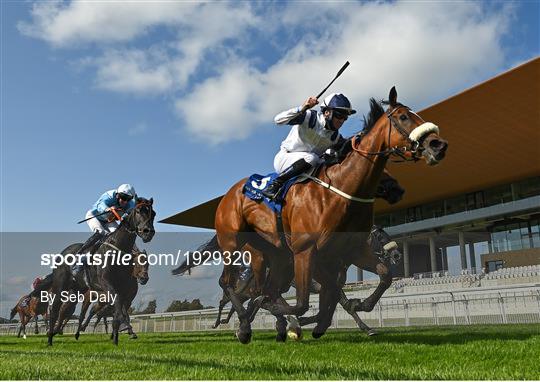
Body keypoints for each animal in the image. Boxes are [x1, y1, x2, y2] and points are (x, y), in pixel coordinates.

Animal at [45, 197, 155, 346]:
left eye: (153, 214)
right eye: (138, 211)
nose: (148, 232)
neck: (117, 249)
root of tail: (63, 252)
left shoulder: (123, 292)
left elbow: (119, 309)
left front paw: (119, 335)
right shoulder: (106, 284)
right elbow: (118, 309)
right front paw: (124, 328)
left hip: (77, 288)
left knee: (67, 309)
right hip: (61, 285)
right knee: (55, 309)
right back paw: (50, 338)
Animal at [215, 87, 448, 344]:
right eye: (403, 117)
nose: (438, 145)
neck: (340, 190)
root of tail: (230, 193)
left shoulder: (350, 251)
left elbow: (381, 276)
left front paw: (356, 308)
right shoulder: (307, 252)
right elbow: (306, 302)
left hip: (276, 255)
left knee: (267, 289)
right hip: (233, 244)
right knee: (231, 284)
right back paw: (246, 325)